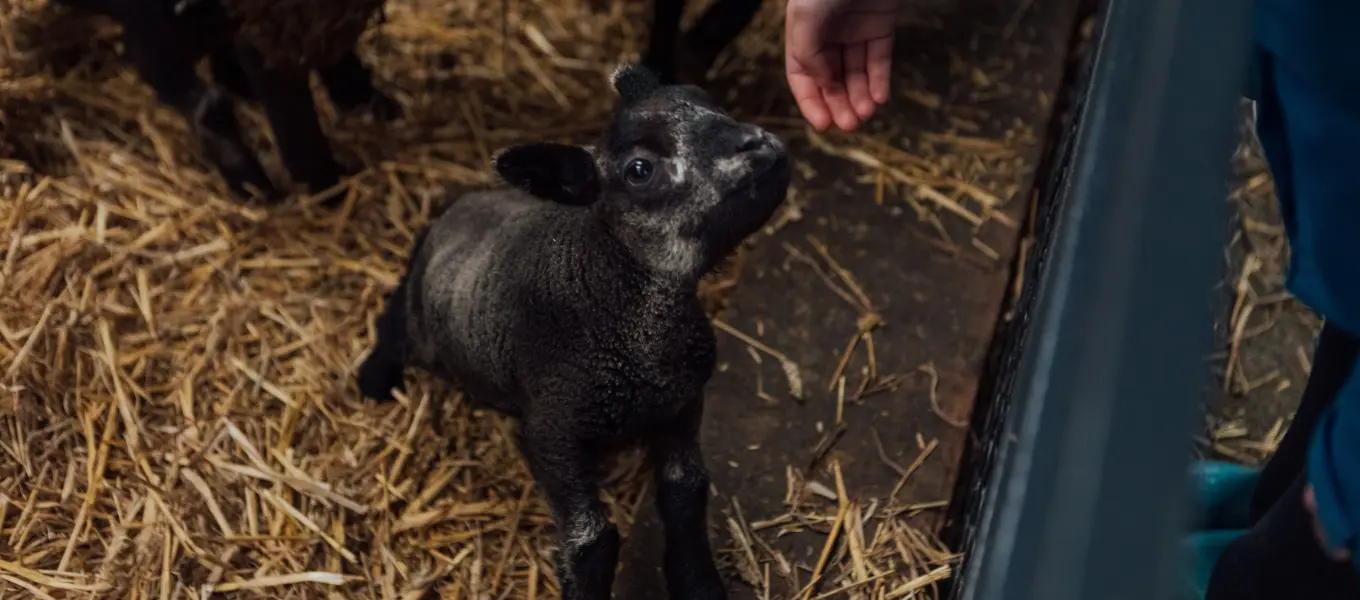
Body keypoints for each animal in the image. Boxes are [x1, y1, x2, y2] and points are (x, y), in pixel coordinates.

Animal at [355, 63, 791, 600]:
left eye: (708, 101)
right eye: (640, 170)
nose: (758, 145)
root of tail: (455, 208)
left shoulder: (683, 404)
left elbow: (686, 491)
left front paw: (700, 583)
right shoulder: (552, 432)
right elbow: (591, 545)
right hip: (422, 324)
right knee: (392, 324)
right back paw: (373, 379)